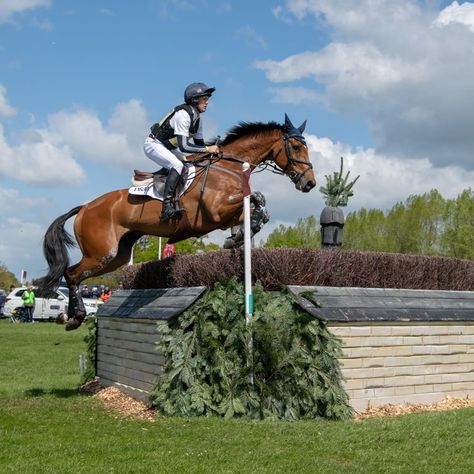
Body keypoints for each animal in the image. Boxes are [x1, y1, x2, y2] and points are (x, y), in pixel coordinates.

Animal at [36, 115, 314, 330]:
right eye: (296, 147)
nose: (309, 182)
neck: (229, 166)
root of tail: (84, 207)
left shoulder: (226, 216)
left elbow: (257, 209)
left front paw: (238, 236)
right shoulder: (216, 212)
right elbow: (256, 198)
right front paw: (239, 234)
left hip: (117, 255)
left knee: (76, 274)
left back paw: (70, 316)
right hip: (101, 253)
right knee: (71, 274)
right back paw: (74, 318)